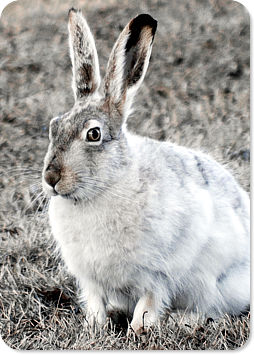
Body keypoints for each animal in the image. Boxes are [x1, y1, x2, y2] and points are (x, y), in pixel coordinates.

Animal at [42, 8, 250, 336]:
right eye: (54, 126)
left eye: (94, 134)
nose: (51, 179)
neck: (106, 186)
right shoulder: (90, 280)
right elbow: (95, 303)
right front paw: (95, 326)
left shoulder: (158, 274)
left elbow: (150, 301)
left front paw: (140, 328)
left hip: (216, 284)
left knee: (213, 309)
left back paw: (183, 320)